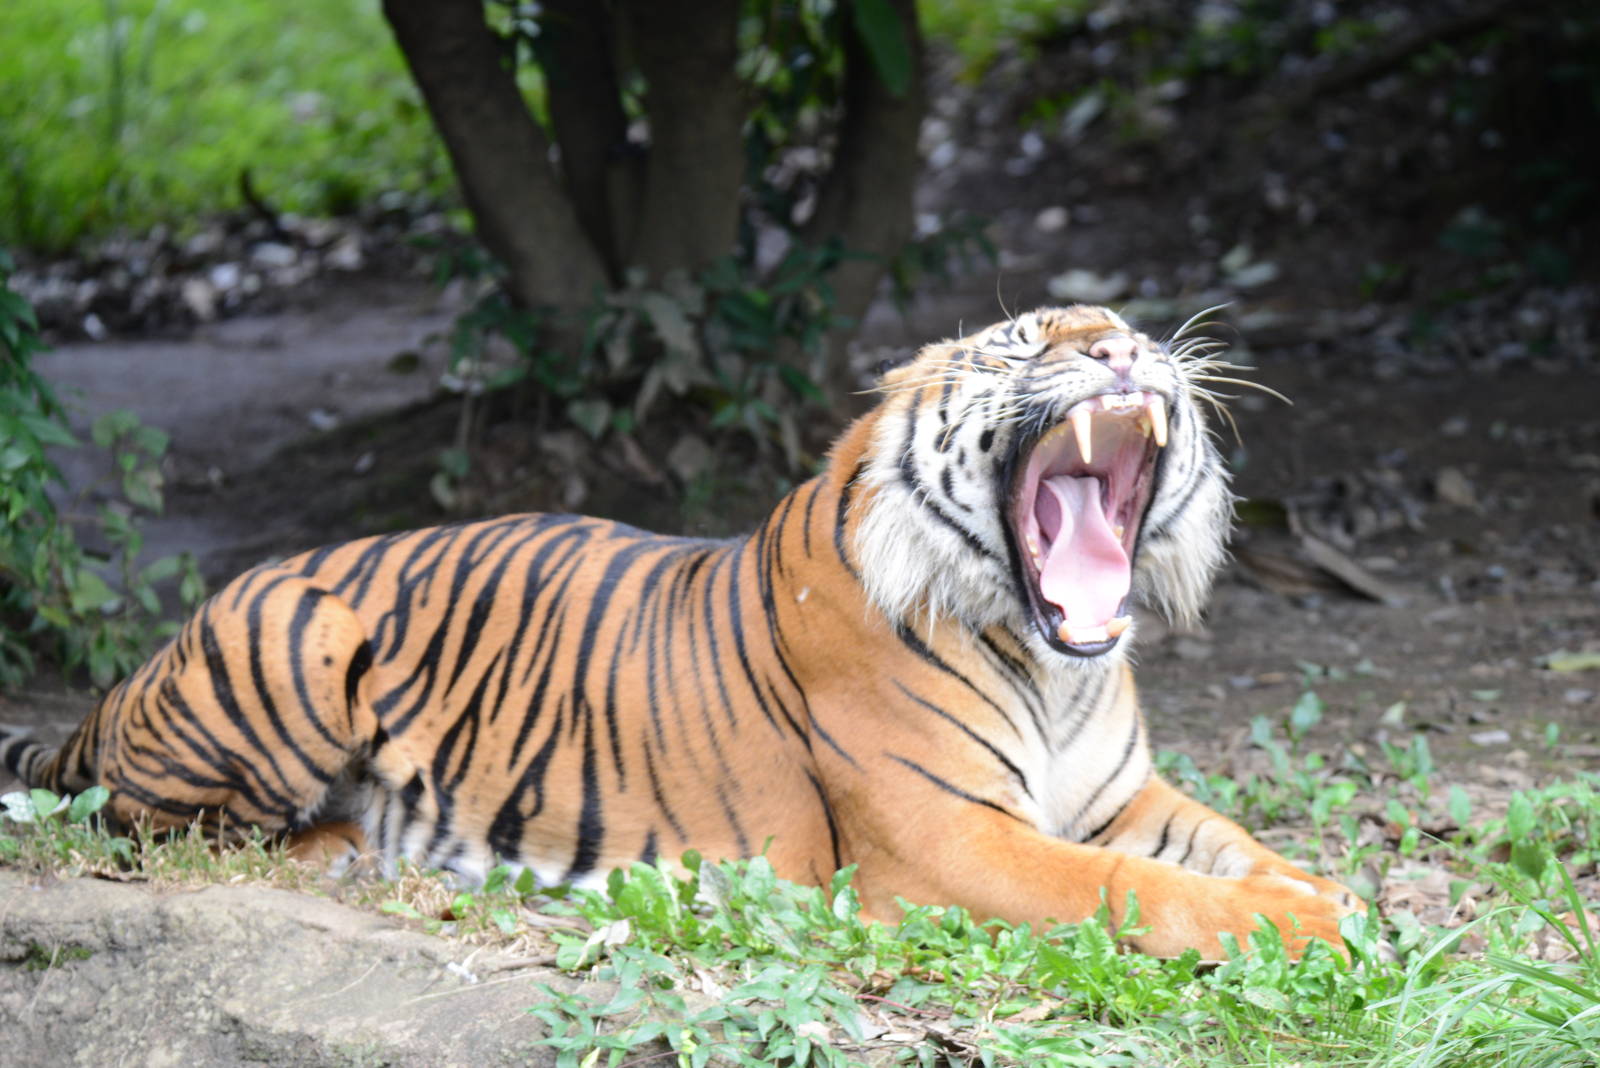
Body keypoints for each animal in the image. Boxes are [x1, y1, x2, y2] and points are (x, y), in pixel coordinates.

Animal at [0, 305, 1356, 959]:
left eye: (1125, 326)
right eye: (1022, 343)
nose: (1127, 351)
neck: (1053, 664)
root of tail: (140, 668)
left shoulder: (1117, 796)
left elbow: (1221, 846)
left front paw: (1327, 891)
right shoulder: (947, 841)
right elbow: (1132, 888)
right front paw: (1310, 926)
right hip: (299, 638)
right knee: (143, 822)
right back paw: (344, 848)